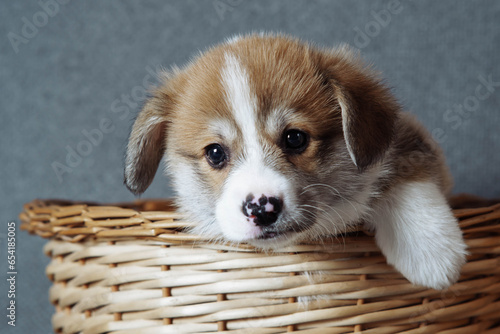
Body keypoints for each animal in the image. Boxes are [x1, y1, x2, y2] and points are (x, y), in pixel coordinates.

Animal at [123, 34, 466, 290]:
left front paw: (430, 250)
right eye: (216, 153)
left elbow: (406, 170)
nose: (261, 209)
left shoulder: (410, 138)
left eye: (295, 138)